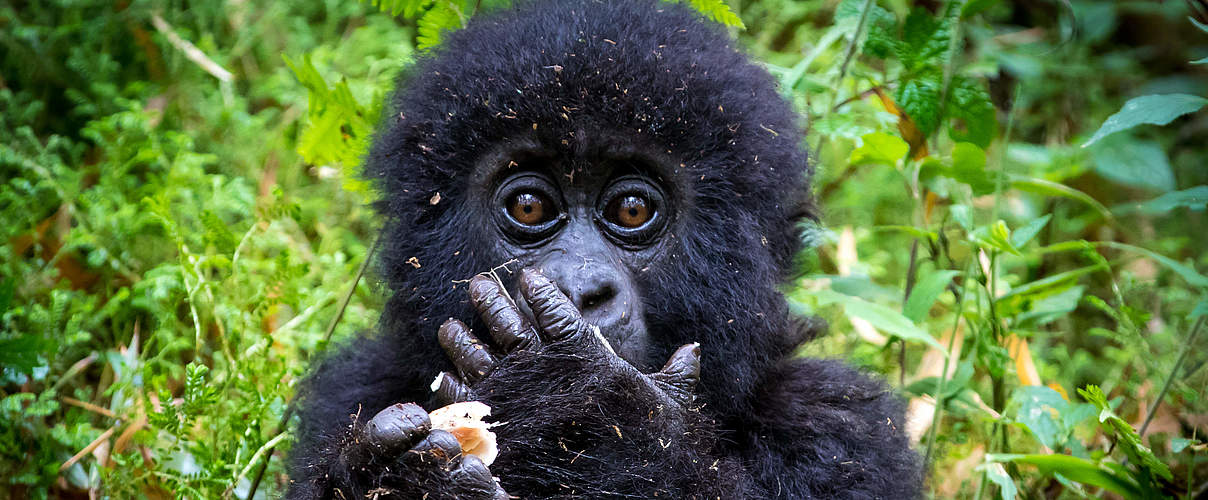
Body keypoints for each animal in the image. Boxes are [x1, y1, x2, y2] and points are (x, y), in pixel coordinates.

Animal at [287, 0, 918, 495]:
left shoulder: (847, 428)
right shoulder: (350, 391)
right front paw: (396, 481)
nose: (579, 290)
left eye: (632, 210)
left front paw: (575, 406)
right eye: (529, 206)